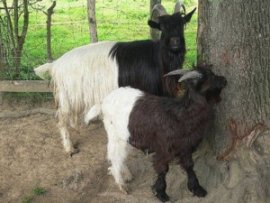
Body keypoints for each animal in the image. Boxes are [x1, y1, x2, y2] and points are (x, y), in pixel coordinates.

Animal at [34, 0, 196, 155]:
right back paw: (70, 148)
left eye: (182, 24)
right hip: (67, 95)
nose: (175, 42)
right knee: (61, 119)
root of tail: (55, 65)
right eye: (163, 27)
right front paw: (147, 148)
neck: (158, 58)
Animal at [98, 66, 227, 201]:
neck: (181, 115)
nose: (224, 80)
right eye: (210, 77)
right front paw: (161, 193)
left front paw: (197, 188)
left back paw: (127, 175)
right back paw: (122, 184)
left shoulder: (185, 147)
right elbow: (162, 169)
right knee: (114, 156)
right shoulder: (164, 148)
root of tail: (104, 100)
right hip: (114, 134)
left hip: (126, 135)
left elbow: (189, 166)